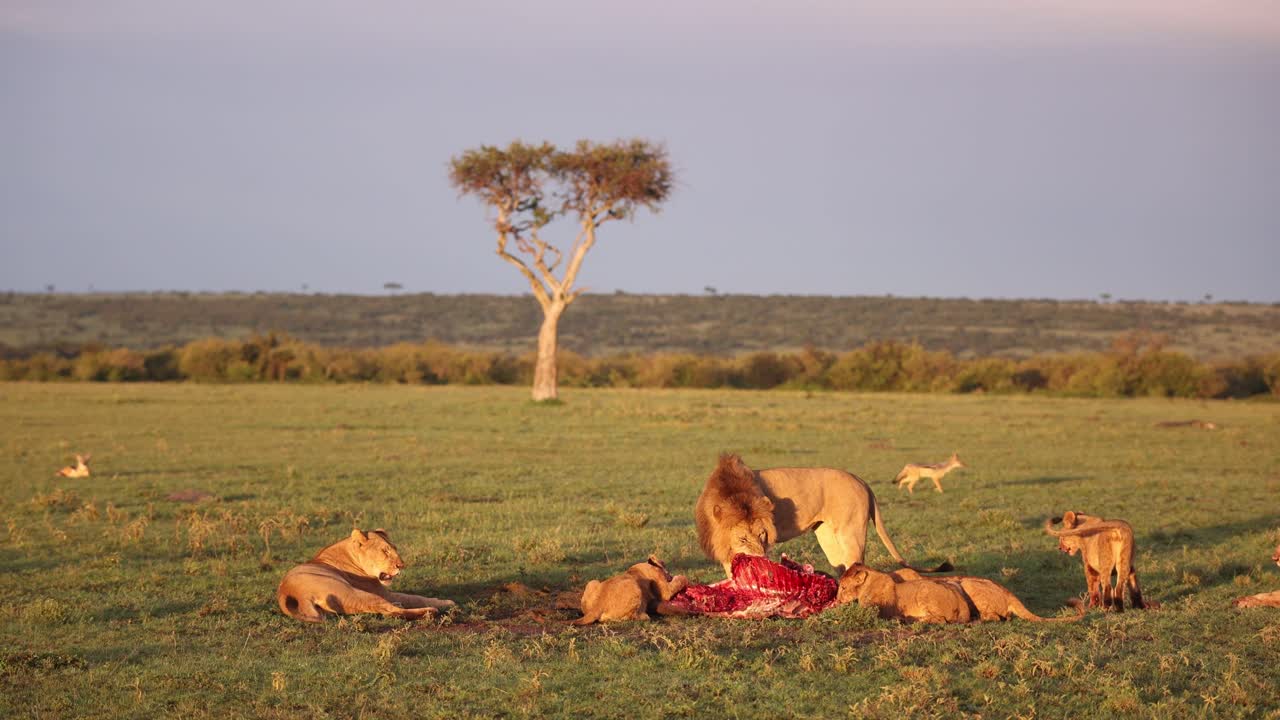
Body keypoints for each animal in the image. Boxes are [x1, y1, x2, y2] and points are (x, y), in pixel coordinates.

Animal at [276, 528, 455, 623]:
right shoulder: (383, 592)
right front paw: (447, 602)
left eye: (395, 548)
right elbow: (415, 597)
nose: (401, 565)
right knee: (391, 611)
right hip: (353, 592)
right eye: (385, 551)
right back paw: (430, 612)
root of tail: (291, 592)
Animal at [695, 453, 950, 578]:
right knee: (842, 564)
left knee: (856, 562)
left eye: (763, 535)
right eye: (743, 538)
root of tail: (860, 480)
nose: (760, 557)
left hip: (850, 531)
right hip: (827, 535)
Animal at [836, 564, 970, 624]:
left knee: (940, 619)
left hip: (923, 592)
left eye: (843, 587)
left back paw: (908, 618)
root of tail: (963, 604)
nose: (837, 600)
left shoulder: (872, 610)